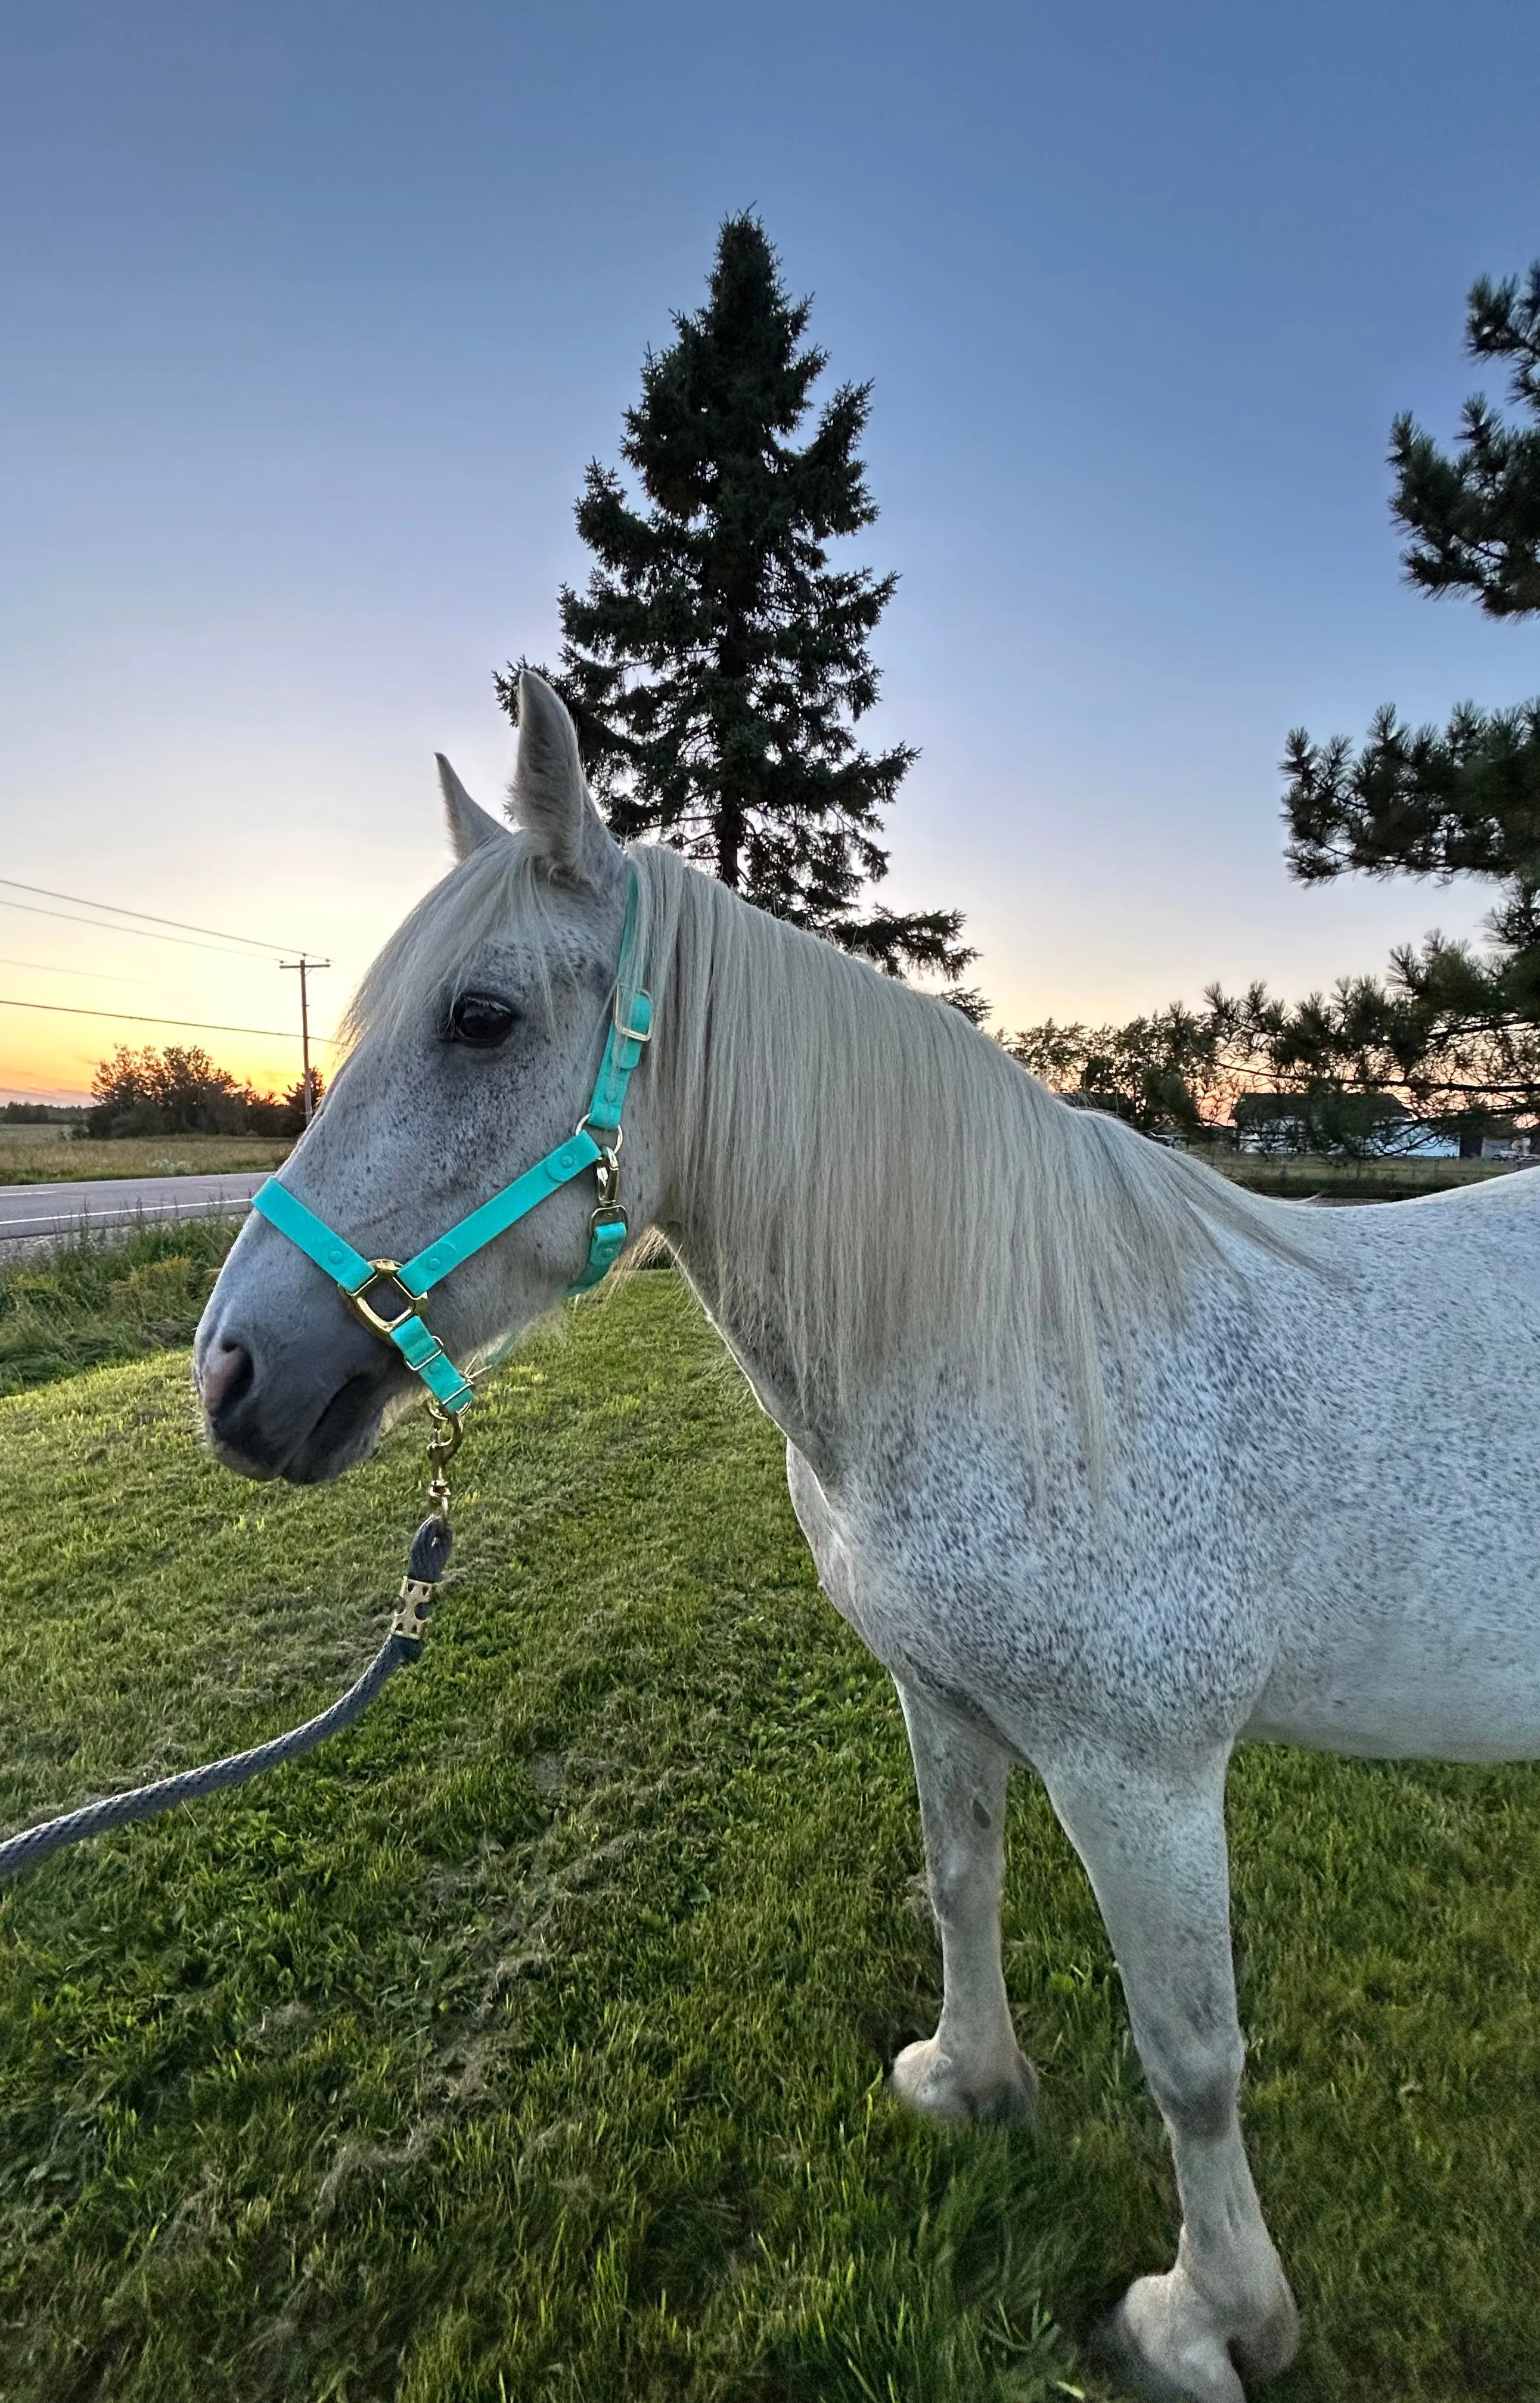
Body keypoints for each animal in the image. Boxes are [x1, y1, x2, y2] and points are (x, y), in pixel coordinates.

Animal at [192, 678, 1537, 2403]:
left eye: (480, 1018)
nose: (235, 1377)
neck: (1020, 1355)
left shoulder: (1146, 1776)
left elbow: (1190, 2054)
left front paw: (1211, 2318)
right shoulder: (941, 1696)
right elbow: (962, 1887)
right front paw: (969, 2084)